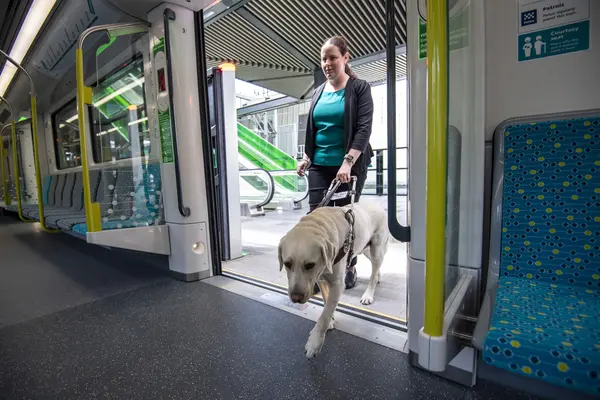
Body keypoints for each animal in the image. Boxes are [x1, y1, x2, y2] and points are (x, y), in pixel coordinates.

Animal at [278, 202, 390, 358]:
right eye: (287, 264)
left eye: (310, 265)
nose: (296, 298)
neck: (318, 224)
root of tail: (375, 203)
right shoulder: (320, 278)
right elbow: (326, 302)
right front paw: (330, 321)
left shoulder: (337, 284)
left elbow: (325, 314)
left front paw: (315, 342)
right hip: (364, 247)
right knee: (376, 265)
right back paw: (378, 276)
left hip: (376, 249)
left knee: (374, 271)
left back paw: (368, 294)